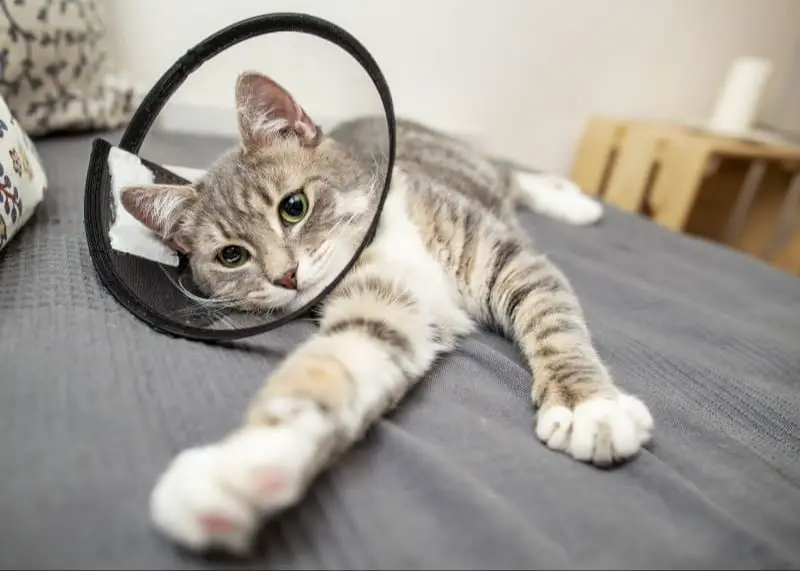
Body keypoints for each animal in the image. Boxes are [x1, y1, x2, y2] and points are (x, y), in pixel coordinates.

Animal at [122, 71, 652, 556]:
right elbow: (337, 361)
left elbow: (553, 321)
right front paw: (241, 466)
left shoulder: (503, 254)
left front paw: (588, 406)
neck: (376, 241)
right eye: (232, 256)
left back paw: (573, 201)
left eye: (294, 206)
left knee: (509, 172)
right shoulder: (385, 302)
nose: (286, 276)